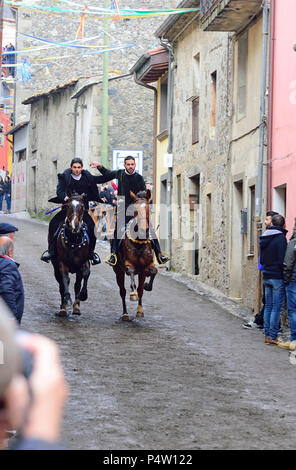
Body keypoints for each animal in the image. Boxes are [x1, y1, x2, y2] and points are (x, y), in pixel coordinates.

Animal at [113, 189, 158, 322]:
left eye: (148, 208)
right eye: (135, 209)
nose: (143, 230)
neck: (138, 243)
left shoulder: (145, 268)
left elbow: (153, 273)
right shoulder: (128, 266)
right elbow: (132, 273)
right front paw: (133, 294)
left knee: (140, 289)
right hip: (118, 272)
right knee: (122, 291)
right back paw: (125, 313)